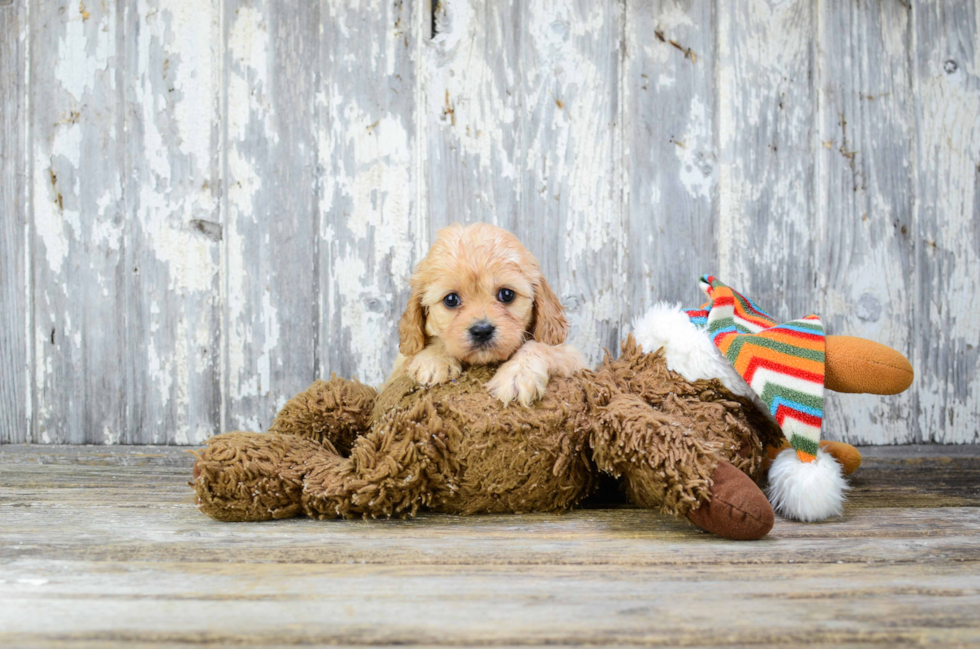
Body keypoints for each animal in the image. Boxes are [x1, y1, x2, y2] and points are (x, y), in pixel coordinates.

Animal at [390, 223, 584, 404]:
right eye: (451, 299)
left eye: (507, 294)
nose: (482, 331)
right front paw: (433, 359)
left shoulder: (569, 354)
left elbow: (540, 345)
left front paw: (517, 375)